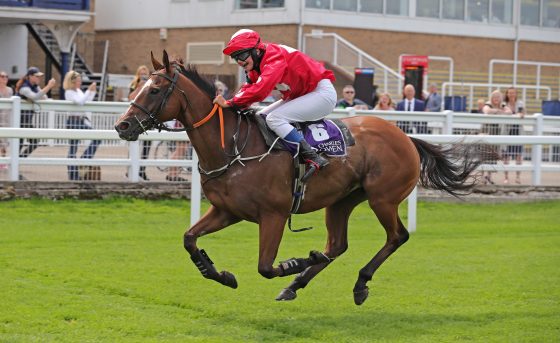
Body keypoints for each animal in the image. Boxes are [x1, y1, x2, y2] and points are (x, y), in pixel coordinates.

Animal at [116, 51, 492, 306]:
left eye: (154, 90)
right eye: (141, 85)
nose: (122, 125)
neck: (233, 146)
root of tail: (404, 136)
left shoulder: (273, 214)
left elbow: (266, 266)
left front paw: (296, 261)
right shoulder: (227, 211)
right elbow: (189, 239)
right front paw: (220, 273)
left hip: (382, 198)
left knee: (397, 236)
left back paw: (358, 283)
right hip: (342, 201)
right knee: (337, 245)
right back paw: (296, 284)